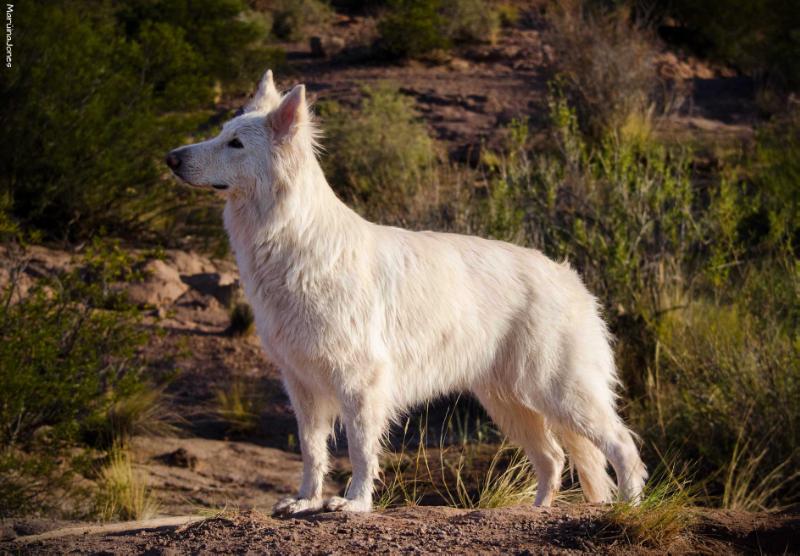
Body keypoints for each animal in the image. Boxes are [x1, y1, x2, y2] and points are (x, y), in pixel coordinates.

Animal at [166, 70, 648, 516]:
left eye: (235, 144)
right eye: (221, 133)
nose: (171, 158)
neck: (293, 240)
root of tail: (573, 279)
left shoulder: (361, 382)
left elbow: (360, 451)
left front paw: (353, 504)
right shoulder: (302, 385)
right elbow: (312, 452)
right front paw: (306, 501)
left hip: (559, 391)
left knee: (623, 445)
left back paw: (630, 508)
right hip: (510, 401)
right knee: (553, 457)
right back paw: (538, 510)